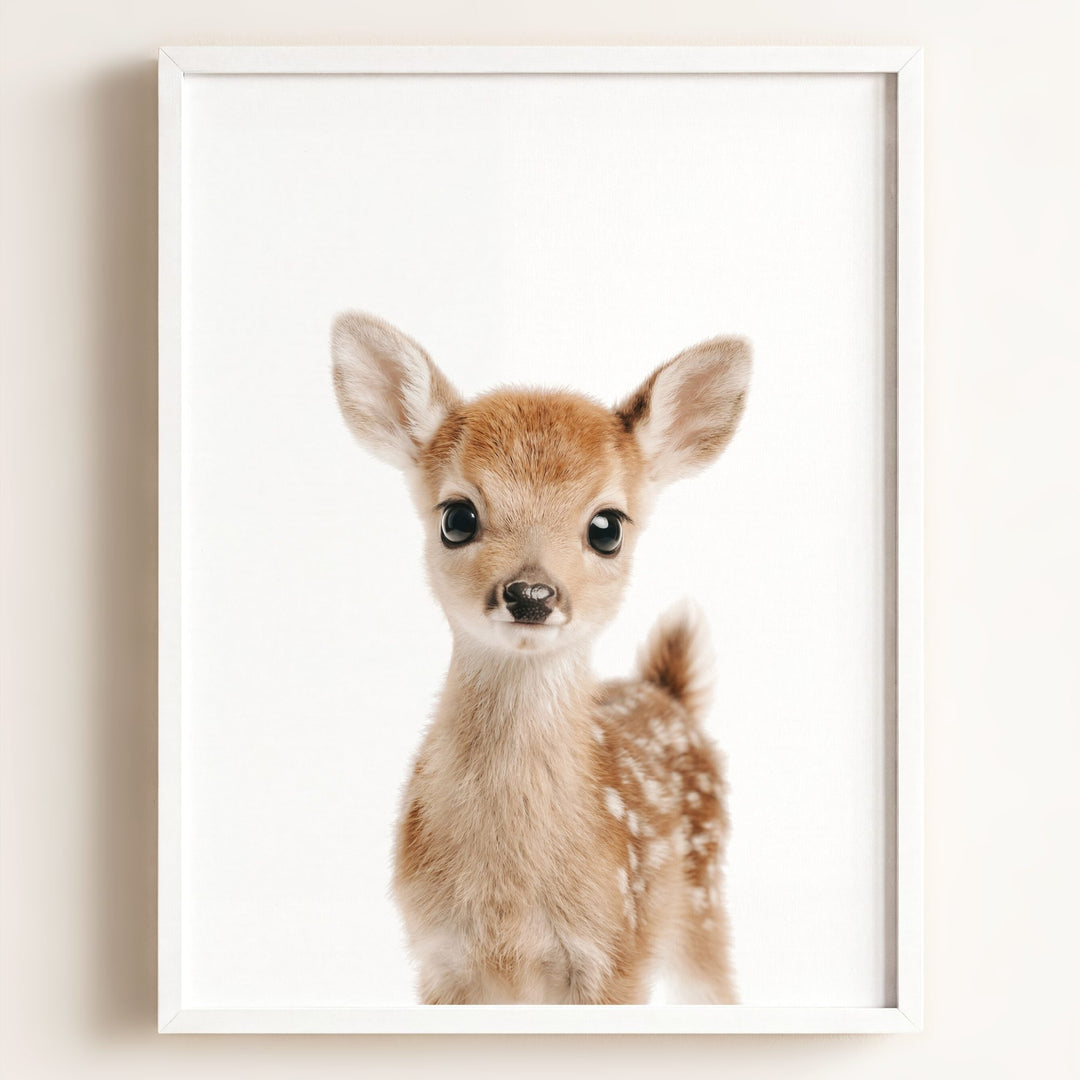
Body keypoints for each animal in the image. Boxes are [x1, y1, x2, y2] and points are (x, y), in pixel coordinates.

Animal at [331, 312, 751, 1005]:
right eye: (457, 517)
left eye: (607, 527)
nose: (531, 594)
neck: (509, 905)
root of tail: (667, 692)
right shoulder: (438, 958)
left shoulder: (617, 951)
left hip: (703, 902)